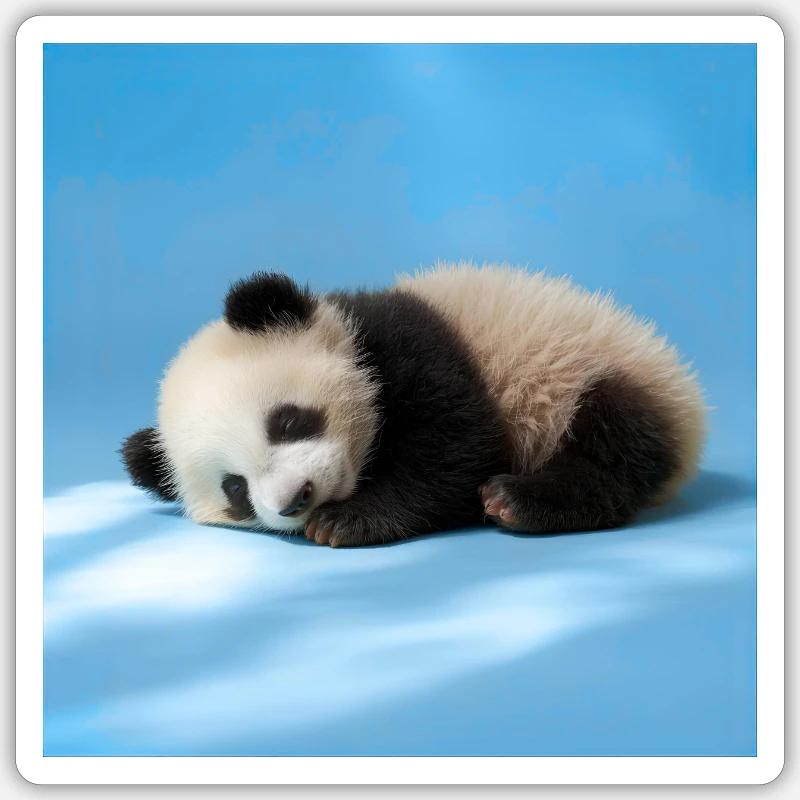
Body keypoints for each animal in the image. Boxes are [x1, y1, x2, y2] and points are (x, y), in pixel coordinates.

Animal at [122, 263, 706, 548]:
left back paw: (520, 499)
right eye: (235, 490)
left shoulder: (410, 343)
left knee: (615, 444)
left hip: (592, 370)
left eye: (287, 421)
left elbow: (457, 444)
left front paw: (347, 521)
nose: (295, 500)